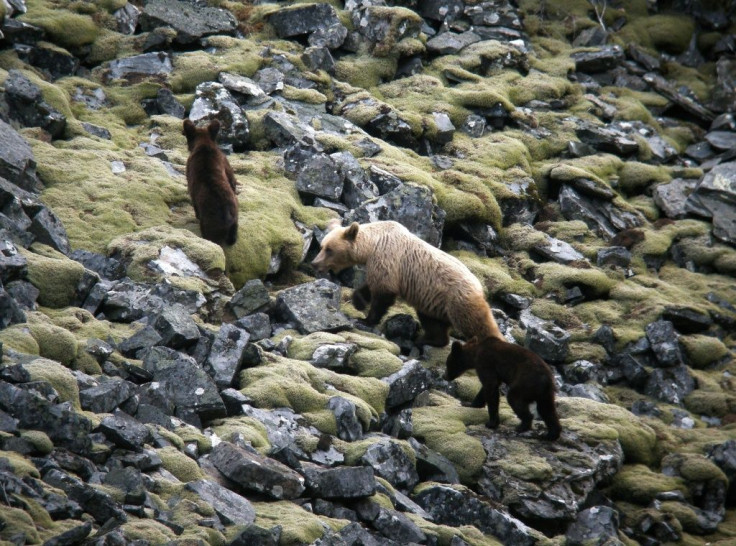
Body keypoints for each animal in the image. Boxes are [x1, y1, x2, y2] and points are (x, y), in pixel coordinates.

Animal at [308, 218, 504, 342]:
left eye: (329, 249)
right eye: (322, 246)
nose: (315, 263)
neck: (372, 246)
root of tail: (479, 286)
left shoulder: (388, 258)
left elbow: (383, 294)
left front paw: (366, 319)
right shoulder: (380, 265)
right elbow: (371, 286)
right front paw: (358, 301)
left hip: (459, 300)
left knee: (476, 324)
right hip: (433, 301)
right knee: (433, 323)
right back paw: (427, 340)